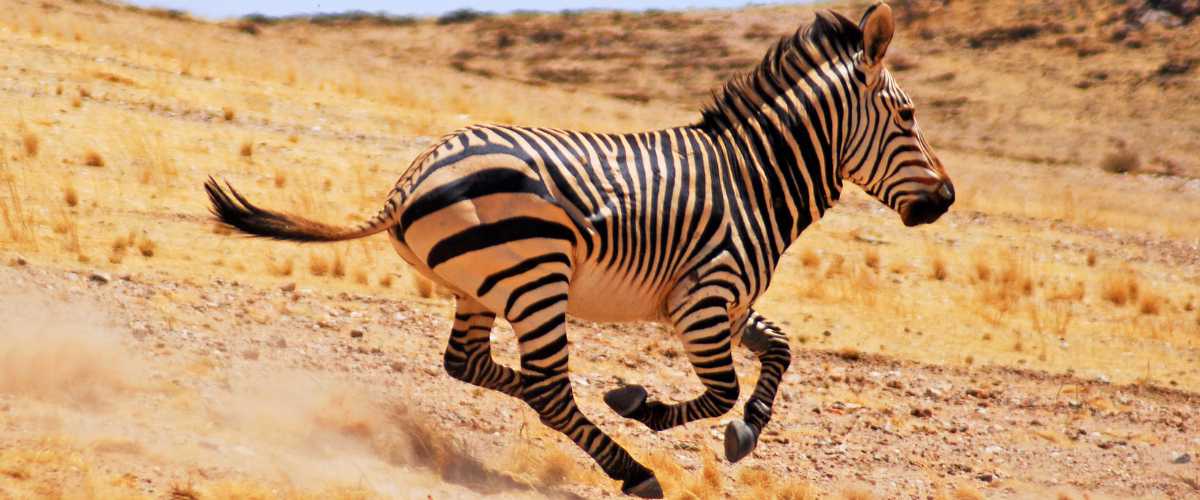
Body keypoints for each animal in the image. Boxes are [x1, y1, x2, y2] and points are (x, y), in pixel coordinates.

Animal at [206, 2, 955, 494]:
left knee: (474, 365)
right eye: (909, 115)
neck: (753, 179)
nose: (946, 200)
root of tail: (410, 180)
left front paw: (746, 432)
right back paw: (632, 467)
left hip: (483, 286)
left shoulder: (727, 302)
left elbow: (780, 350)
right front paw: (647, 407)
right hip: (538, 274)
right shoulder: (704, 299)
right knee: (546, 388)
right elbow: (720, 390)